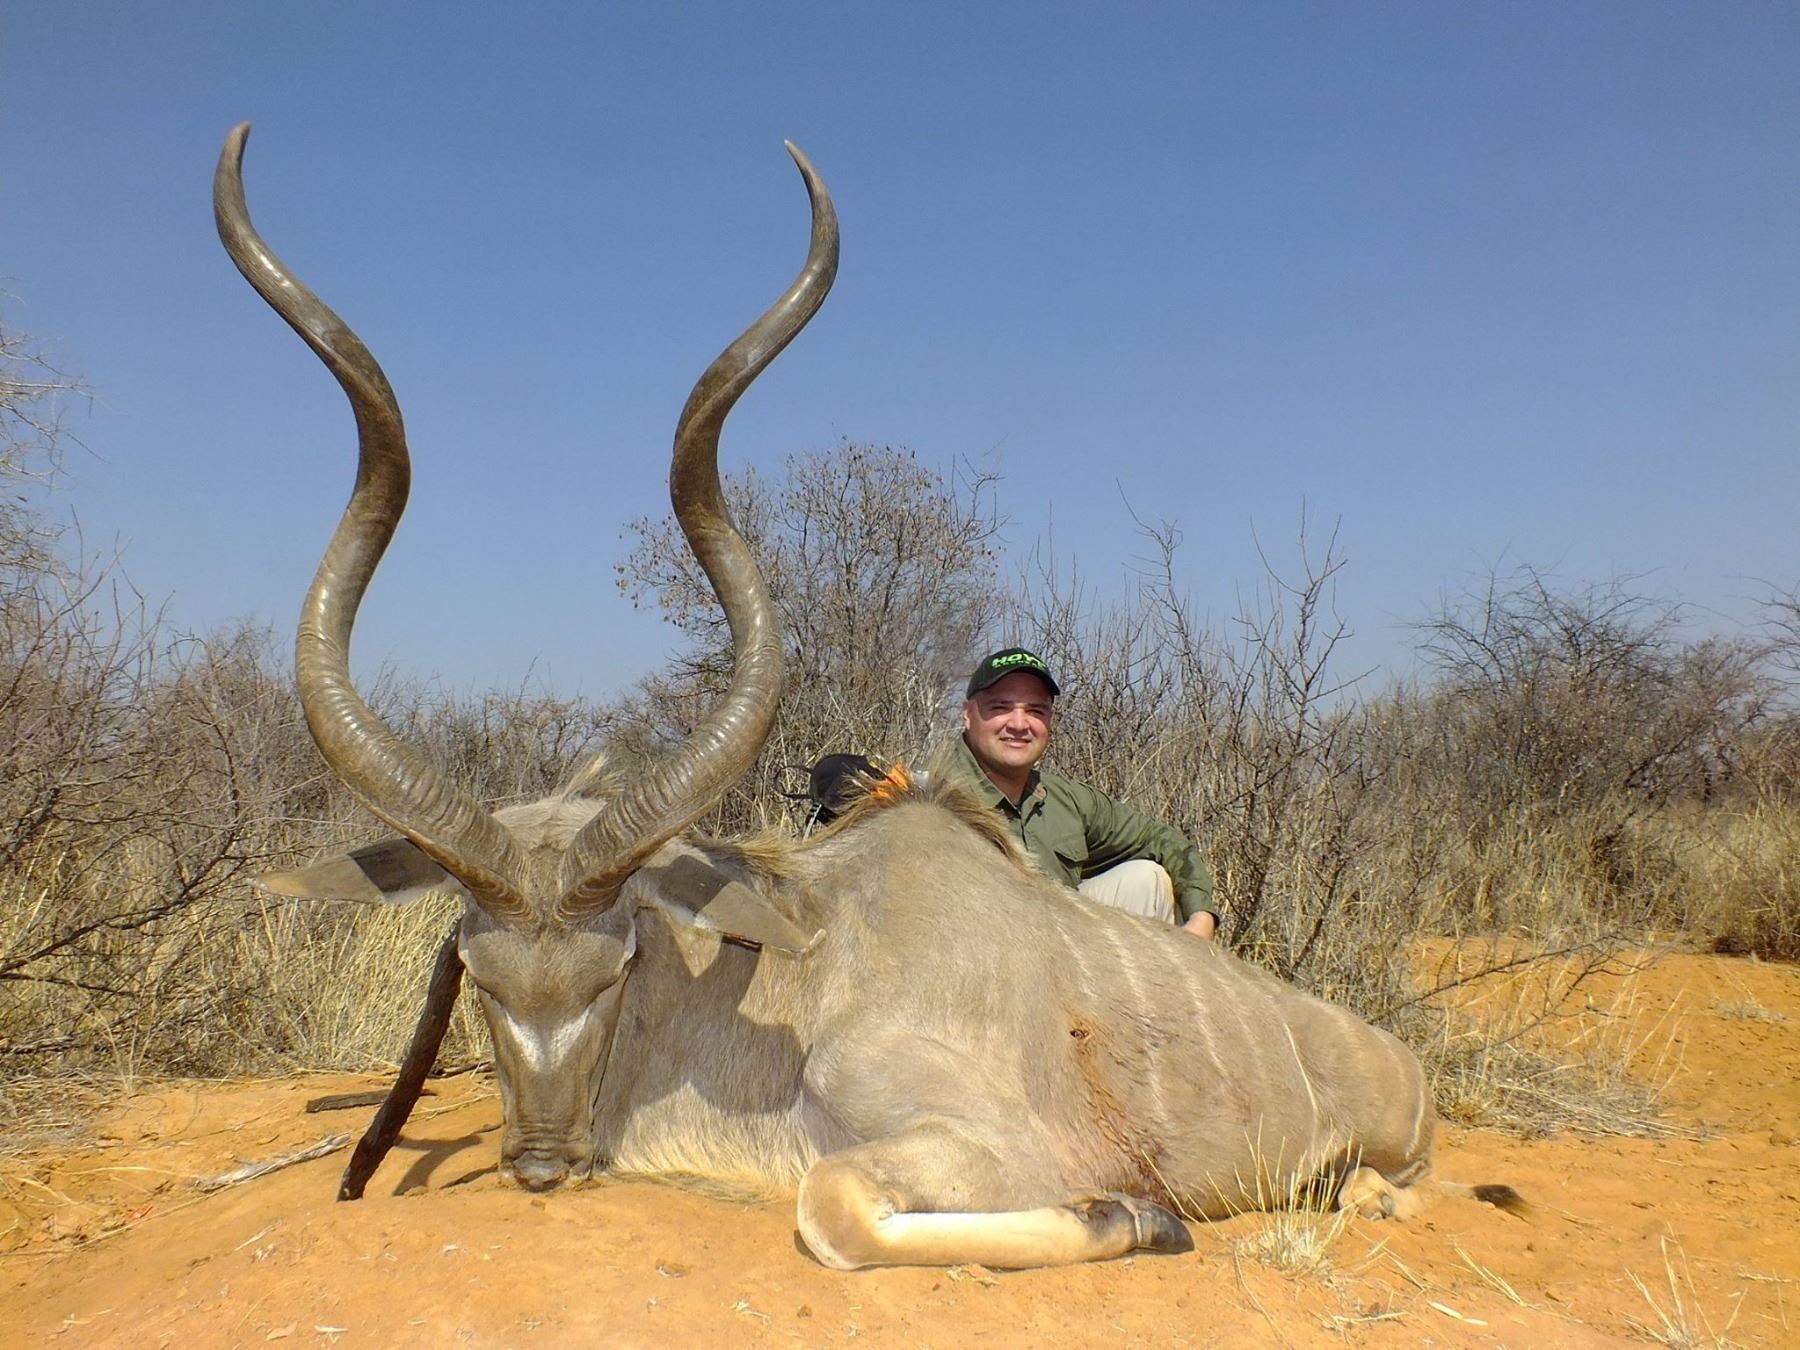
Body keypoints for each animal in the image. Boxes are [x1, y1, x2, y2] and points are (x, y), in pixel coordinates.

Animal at [222, 123, 1459, 1269]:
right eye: (476, 974)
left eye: (620, 962)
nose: (541, 1164)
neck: (793, 979)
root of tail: (1400, 1061)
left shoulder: (990, 1146)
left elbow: (834, 1209)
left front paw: (1141, 1217)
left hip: (1392, 1154)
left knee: (1386, 1188)